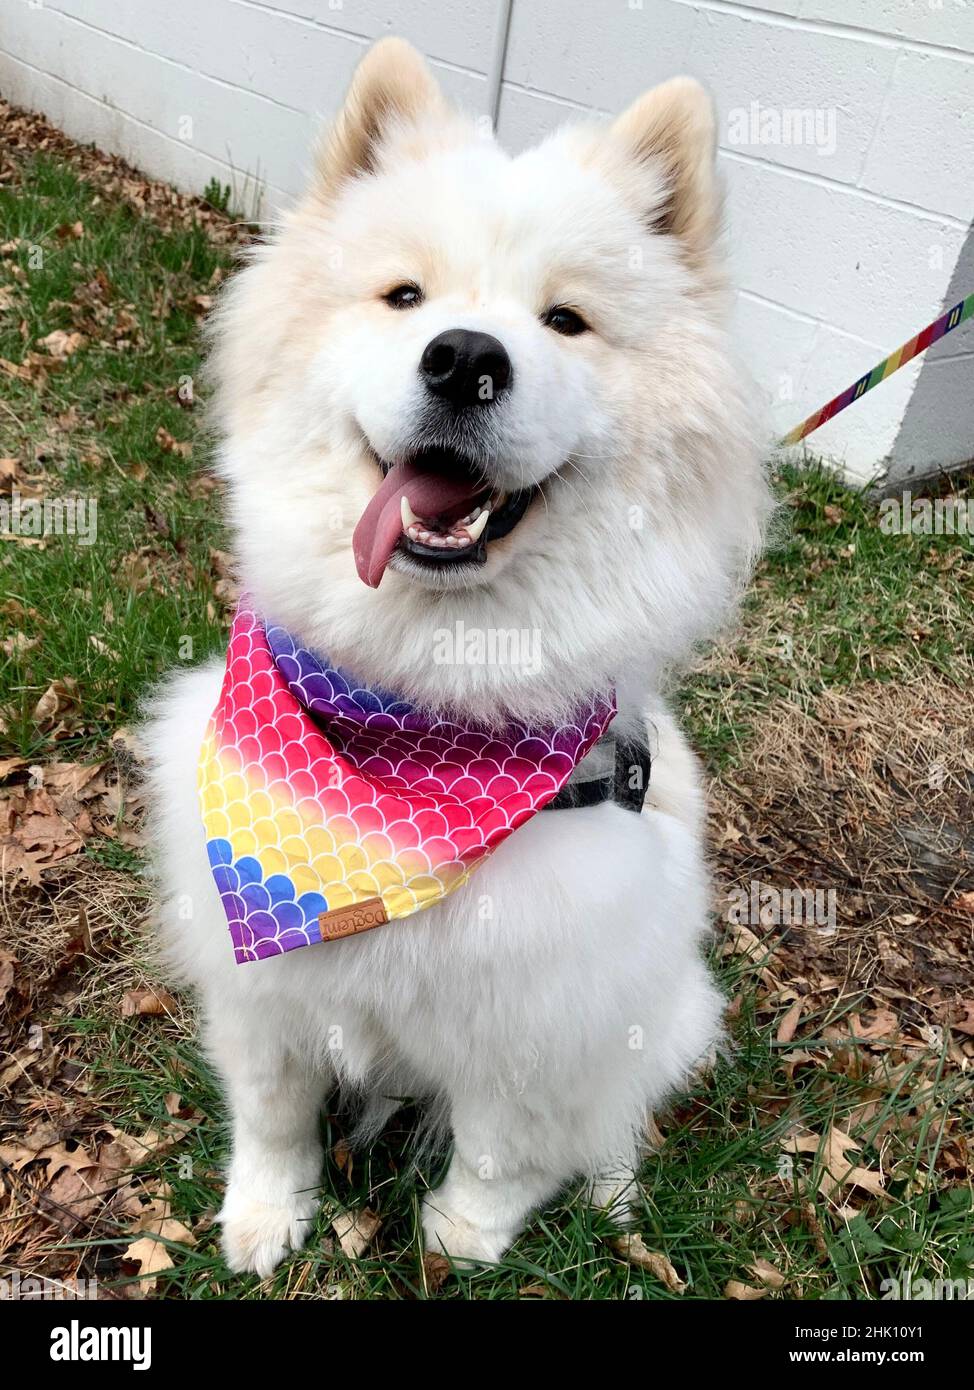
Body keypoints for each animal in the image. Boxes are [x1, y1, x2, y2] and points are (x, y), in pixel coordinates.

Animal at [144, 38, 766, 1273]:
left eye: (566, 321)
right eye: (405, 297)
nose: (465, 358)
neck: (414, 709)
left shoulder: (539, 1011)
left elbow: (499, 1149)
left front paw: (461, 1245)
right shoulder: (261, 983)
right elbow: (274, 1116)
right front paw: (266, 1216)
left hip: (665, 1005)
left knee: (612, 1116)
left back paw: (613, 1199)